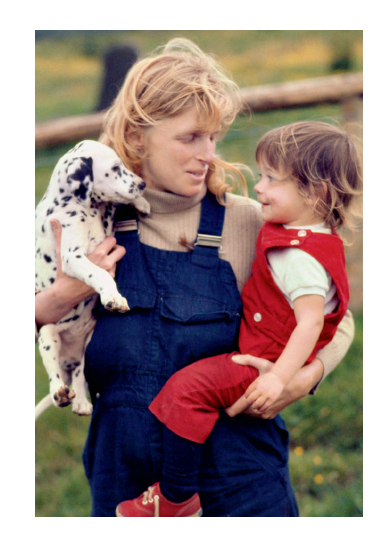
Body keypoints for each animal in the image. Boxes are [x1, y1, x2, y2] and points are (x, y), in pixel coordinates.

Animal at [35, 141, 149, 422]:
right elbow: (99, 273)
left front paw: (141, 202)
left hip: (90, 344)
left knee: (79, 373)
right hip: (48, 335)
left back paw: (81, 402)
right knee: (54, 373)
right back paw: (60, 394)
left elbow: (116, 204)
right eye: (115, 168)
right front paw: (114, 297)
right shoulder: (72, 256)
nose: (142, 184)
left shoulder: (107, 229)